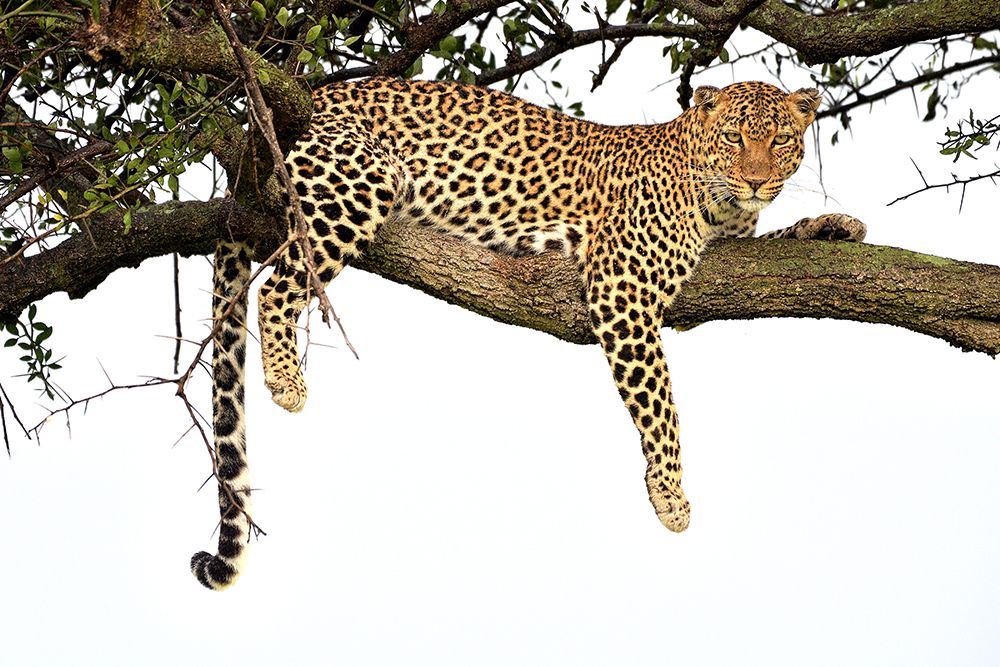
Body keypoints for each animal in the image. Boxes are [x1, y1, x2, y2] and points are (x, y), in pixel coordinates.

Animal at [190, 77, 866, 590]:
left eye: (779, 139)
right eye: (735, 137)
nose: (754, 180)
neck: (720, 204)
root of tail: (306, 95)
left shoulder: (732, 246)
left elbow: (779, 239)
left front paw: (834, 225)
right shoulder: (622, 289)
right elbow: (661, 404)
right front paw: (670, 493)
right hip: (359, 181)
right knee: (276, 287)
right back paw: (287, 378)